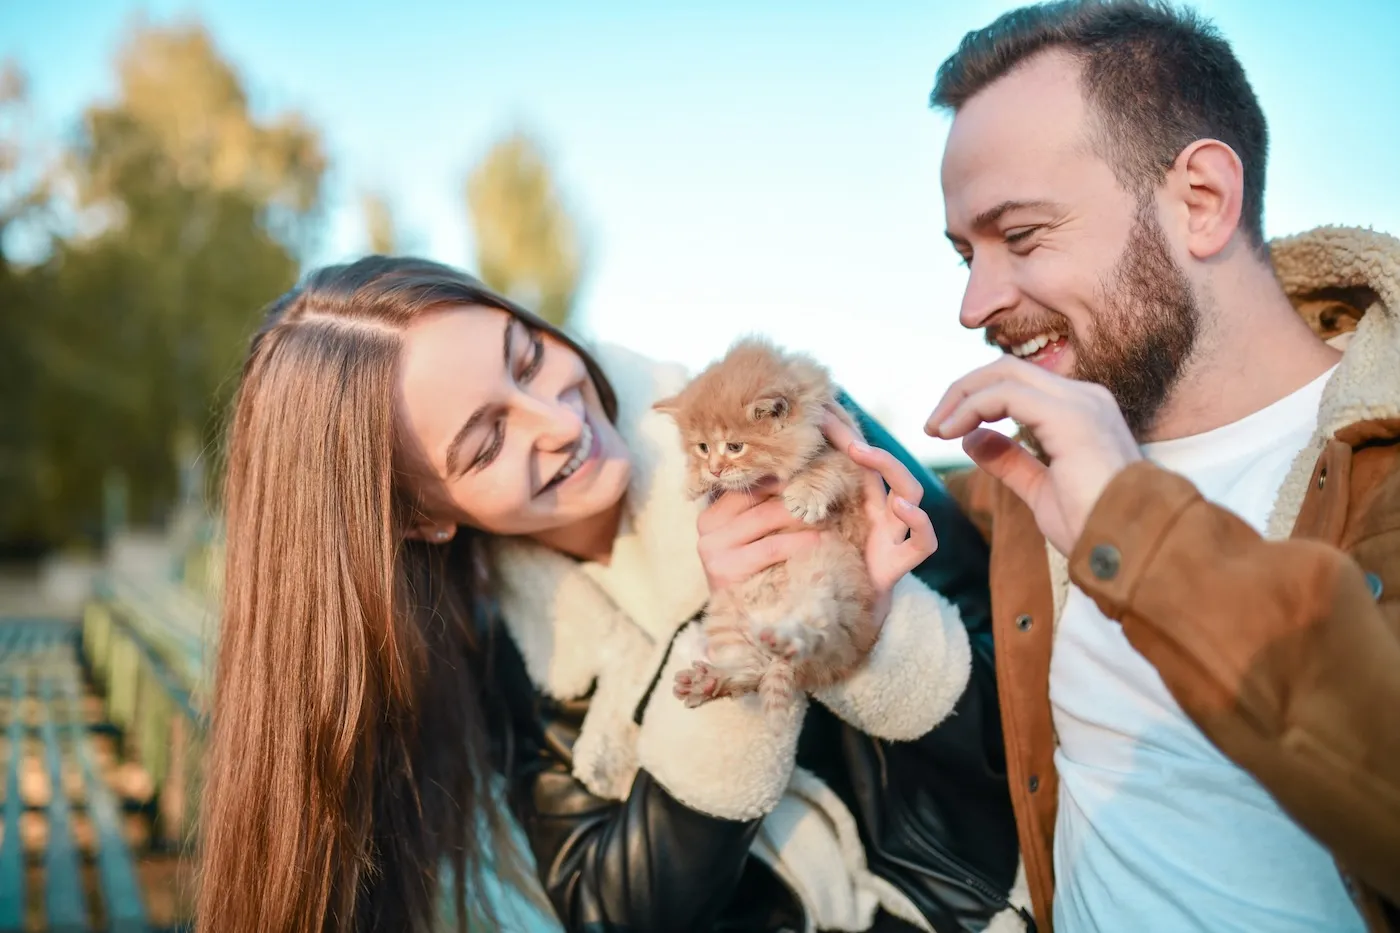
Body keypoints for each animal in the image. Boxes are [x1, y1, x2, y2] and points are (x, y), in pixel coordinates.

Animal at [652, 336, 873, 717]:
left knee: (814, 631)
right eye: (702, 447)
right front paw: (694, 481)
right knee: (753, 670)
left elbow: (823, 469)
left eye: (735, 446)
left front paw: (803, 497)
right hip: (725, 614)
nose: (715, 469)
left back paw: (785, 640)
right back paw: (708, 680)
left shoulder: (848, 459)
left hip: (828, 585)